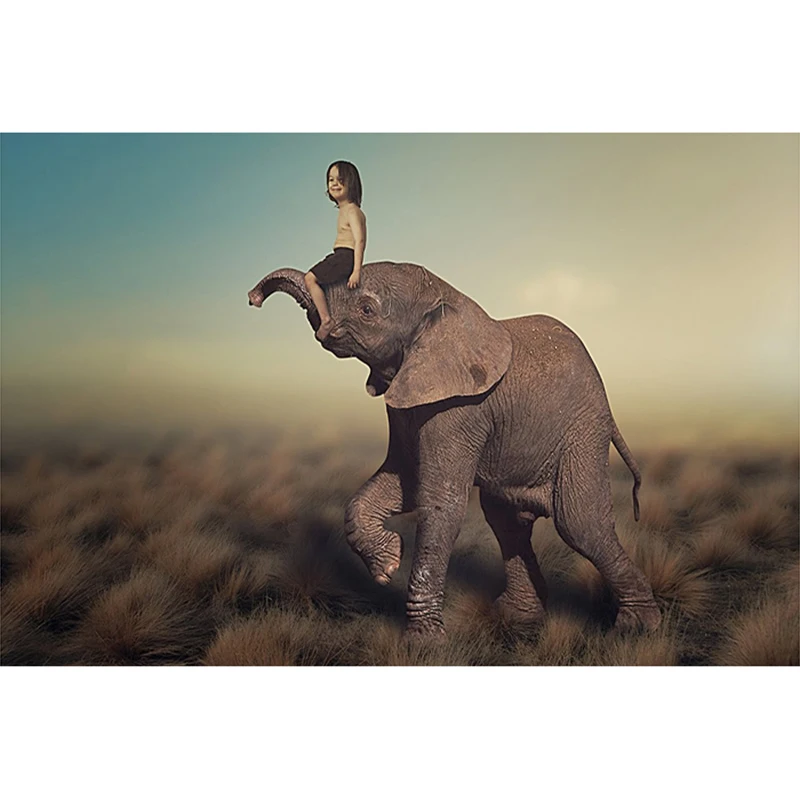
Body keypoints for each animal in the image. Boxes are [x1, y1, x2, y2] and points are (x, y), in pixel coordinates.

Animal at [248, 262, 662, 639]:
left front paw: (424, 642)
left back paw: (639, 627)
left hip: (582, 432)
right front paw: (387, 566)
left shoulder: (460, 408)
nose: (252, 299)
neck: (444, 297)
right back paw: (518, 617)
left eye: (366, 309)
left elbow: (440, 502)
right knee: (506, 521)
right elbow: (403, 479)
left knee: (579, 523)